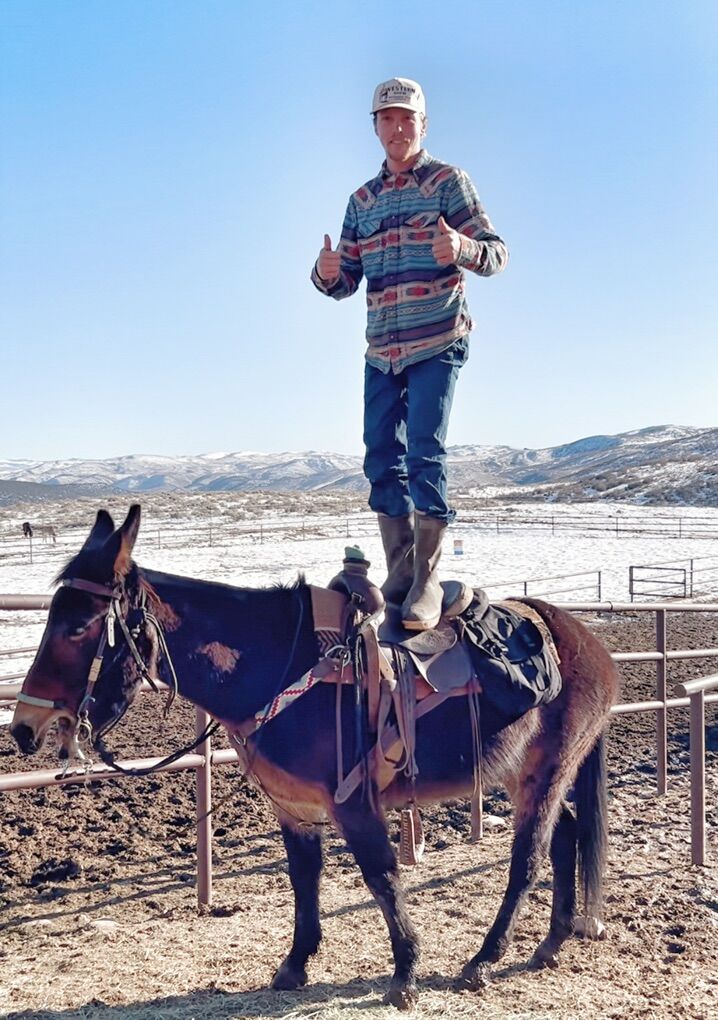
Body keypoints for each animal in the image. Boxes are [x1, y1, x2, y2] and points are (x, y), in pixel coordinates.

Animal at [10, 505, 618, 1009]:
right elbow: (304, 879)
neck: (279, 662)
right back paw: (549, 944)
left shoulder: (353, 803)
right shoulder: (294, 808)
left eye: (79, 626)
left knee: (530, 857)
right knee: (566, 833)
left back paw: (484, 959)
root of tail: (585, 639)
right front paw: (295, 965)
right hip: (528, 774)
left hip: (548, 771)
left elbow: (382, 876)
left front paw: (405, 973)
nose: (24, 727)